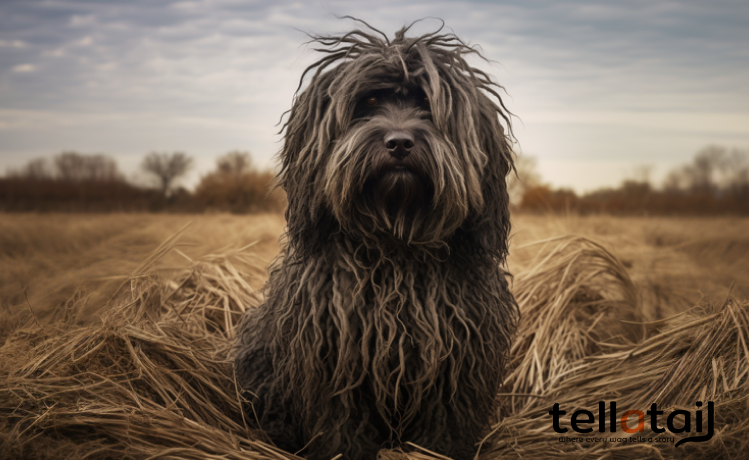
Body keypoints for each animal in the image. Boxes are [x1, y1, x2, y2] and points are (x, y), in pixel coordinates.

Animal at [237, 20, 516, 460]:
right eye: (367, 101)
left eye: (427, 104)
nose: (399, 142)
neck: (395, 246)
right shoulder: (335, 360)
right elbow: (341, 427)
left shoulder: (457, 364)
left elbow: (445, 428)